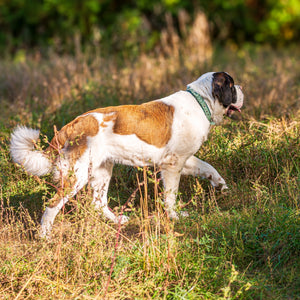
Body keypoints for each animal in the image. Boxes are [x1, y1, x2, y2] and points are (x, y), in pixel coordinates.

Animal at [9, 72, 244, 237]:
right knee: (52, 205)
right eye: (232, 86)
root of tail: (72, 125)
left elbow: (208, 167)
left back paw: (117, 221)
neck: (201, 100)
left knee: (98, 202)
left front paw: (221, 186)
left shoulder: (182, 159)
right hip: (78, 176)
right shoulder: (172, 165)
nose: (242, 88)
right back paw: (44, 236)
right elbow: (171, 196)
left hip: (102, 170)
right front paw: (175, 216)